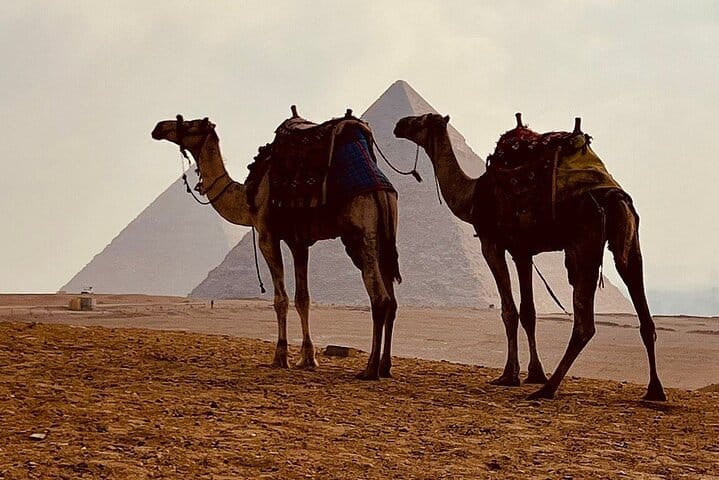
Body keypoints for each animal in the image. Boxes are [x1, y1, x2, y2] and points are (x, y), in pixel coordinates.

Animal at [151, 115, 401, 379]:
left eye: (189, 123)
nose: (159, 127)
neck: (247, 196)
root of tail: (381, 189)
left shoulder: (267, 235)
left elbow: (280, 299)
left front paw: (280, 357)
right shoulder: (298, 242)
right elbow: (303, 299)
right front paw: (308, 358)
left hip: (360, 232)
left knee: (379, 297)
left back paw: (370, 369)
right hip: (384, 237)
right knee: (392, 301)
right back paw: (385, 366)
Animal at [394, 113, 666, 401]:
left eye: (420, 121)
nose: (399, 124)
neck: (471, 196)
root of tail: (614, 195)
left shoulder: (492, 244)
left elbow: (509, 311)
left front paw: (509, 375)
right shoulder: (523, 251)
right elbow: (529, 312)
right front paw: (534, 373)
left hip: (585, 242)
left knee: (584, 324)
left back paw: (547, 389)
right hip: (629, 242)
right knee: (642, 311)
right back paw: (654, 390)